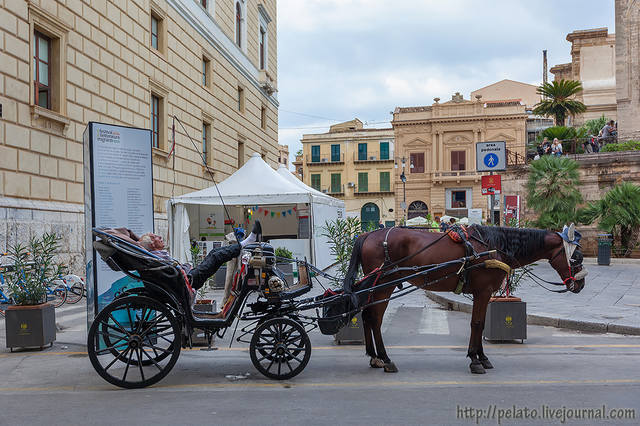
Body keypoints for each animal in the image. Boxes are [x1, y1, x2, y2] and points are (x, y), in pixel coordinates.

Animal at [342, 225, 588, 374]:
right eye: (576, 256)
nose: (581, 284)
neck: (494, 247)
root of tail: (367, 234)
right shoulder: (483, 291)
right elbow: (477, 323)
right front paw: (475, 359)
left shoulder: (484, 293)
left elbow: (480, 325)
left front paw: (481, 356)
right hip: (384, 285)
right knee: (374, 318)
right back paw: (385, 358)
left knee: (367, 316)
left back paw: (374, 357)